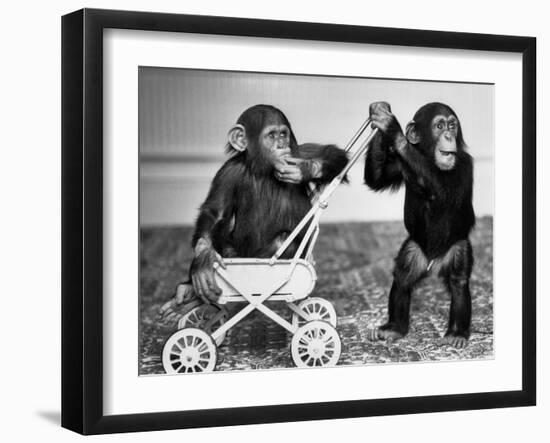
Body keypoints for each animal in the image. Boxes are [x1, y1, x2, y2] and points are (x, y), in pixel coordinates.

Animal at [161, 102, 350, 314]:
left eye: (283, 134)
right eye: (271, 135)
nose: (281, 145)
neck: (263, 169)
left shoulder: (298, 153)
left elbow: (333, 155)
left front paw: (304, 169)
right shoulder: (227, 173)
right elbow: (216, 212)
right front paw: (204, 258)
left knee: (284, 241)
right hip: (238, 254)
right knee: (224, 242)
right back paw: (188, 290)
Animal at [364, 102, 476, 348]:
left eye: (452, 125)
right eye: (439, 126)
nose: (448, 135)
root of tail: (434, 262)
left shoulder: (464, 165)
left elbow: (442, 192)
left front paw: (393, 130)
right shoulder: (398, 165)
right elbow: (376, 179)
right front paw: (379, 114)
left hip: (457, 248)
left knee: (458, 281)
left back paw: (456, 333)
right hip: (414, 249)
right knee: (402, 277)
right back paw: (394, 328)